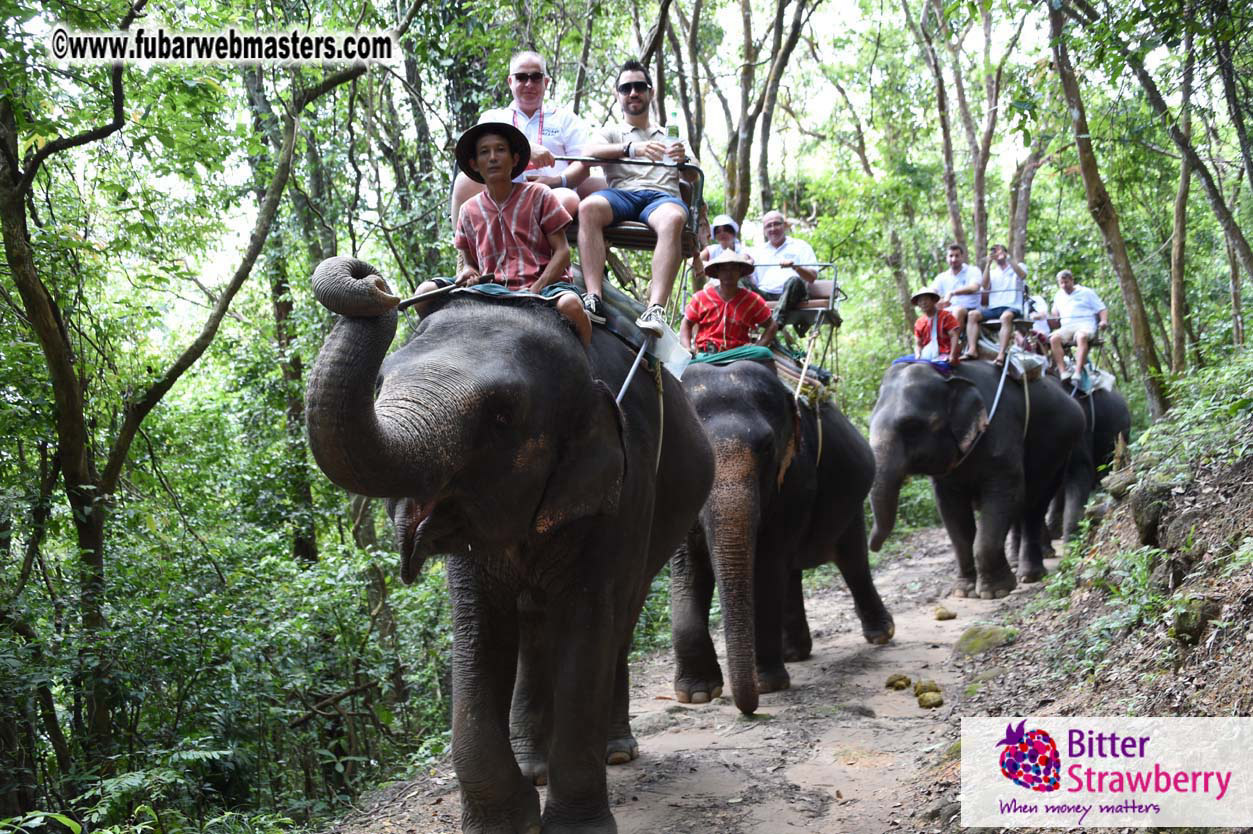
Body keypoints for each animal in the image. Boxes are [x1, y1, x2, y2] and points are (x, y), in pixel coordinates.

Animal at [305, 256, 714, 834]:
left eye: (501, 414)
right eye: (382, 381)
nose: (370, 278)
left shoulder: (625, 485)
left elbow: (588, 622)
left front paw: (576, 828)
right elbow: (478, 629)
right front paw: (508, 819)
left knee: (621, 618)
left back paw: (615, 750)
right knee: (535, 621)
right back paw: (534, 764)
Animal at [670, 358, 894, 715]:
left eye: (766, 447)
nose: (748, 709)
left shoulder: (796, 479)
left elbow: (766, 566)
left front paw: (768, 685)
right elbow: (688, 570)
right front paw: (698, 694)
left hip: (851, 503)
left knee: (852, 561)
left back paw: (881, 635)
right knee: (792, 572)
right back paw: (794, 653)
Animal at [868, 360, 1085, 596]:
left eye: (912, 426)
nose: (873, 547)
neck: (948, 377)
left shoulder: (1001, 432)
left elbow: (1005, 496)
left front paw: (996, 592)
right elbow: (952, 512)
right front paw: (965, 590)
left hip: (1060, 450)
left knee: (1034, 504)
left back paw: (1030, 575)